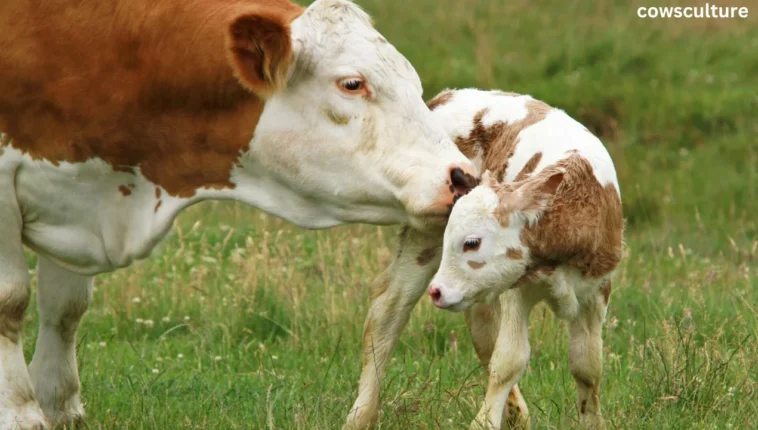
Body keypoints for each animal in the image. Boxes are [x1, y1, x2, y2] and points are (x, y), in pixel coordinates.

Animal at [0, 1, 476, 428]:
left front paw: (59, 405)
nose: (463, 176)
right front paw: (23, 412)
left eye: (412, 82)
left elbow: (66, 307)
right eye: (352, 83)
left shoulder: (77, 205)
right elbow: (12, 299)